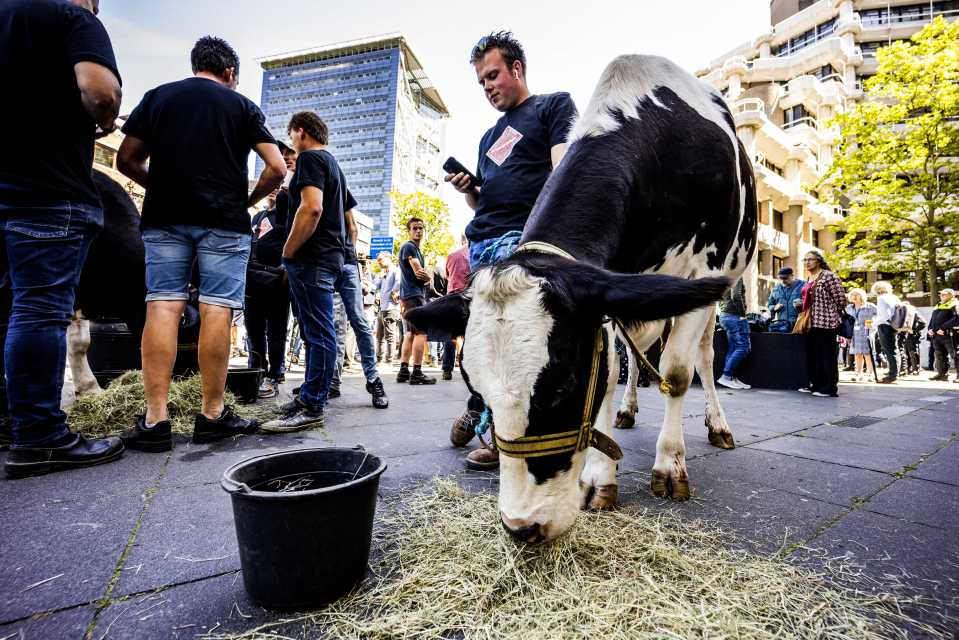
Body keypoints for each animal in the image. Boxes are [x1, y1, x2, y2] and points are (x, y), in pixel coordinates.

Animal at [404, 55, 756, 544]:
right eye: (479, 393)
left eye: (561, 387)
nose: (521, 527)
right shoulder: (608, 289)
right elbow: (607, 374)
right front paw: (599, 477)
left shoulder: (704, 272)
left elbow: (676, 373)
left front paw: (669, 465)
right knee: (633, 355)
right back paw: (627, 411)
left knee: (702, 358)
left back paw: (717, 424)